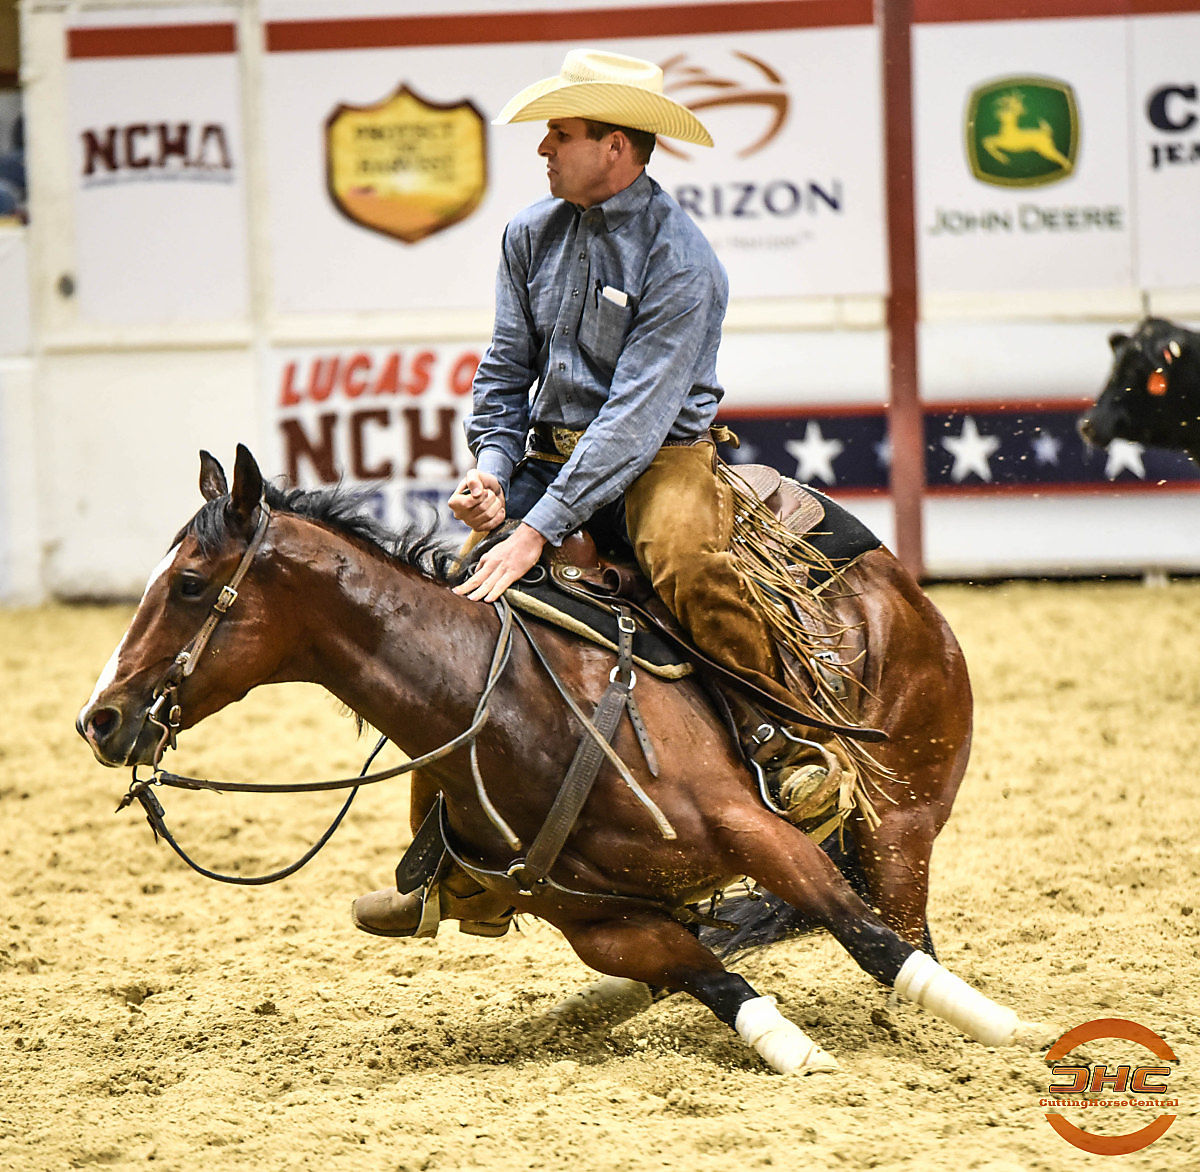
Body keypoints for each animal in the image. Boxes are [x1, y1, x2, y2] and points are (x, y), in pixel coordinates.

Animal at [77, 445, 1039, 1074]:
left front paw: (1008, 1032)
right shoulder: (602, 925)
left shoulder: (756, 830)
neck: (505, 705)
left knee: (902, 926)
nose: (101, 718)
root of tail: (897, 584)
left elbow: (868, 940)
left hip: (900, 818)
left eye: (190, 584)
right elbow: (717, 981)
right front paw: (793, 1052)